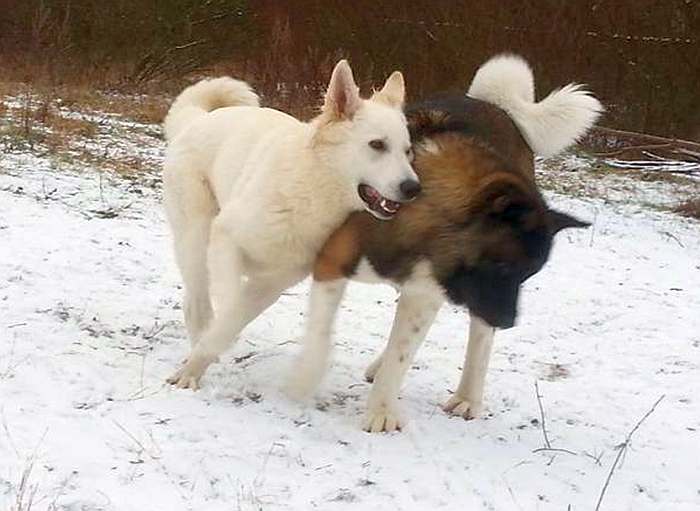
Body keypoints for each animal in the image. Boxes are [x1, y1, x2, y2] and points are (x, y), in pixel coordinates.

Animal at [161, 59, 418, 388]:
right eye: (377, 145)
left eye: (407, 151)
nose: (413, 188)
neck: (311, 192)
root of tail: (196, 120)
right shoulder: (226, 237)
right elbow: (228, 308)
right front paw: (195, 366)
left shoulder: (273, 283)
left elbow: (233, 320)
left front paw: (204, 357)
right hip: (197, 238)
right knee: (197, 306)